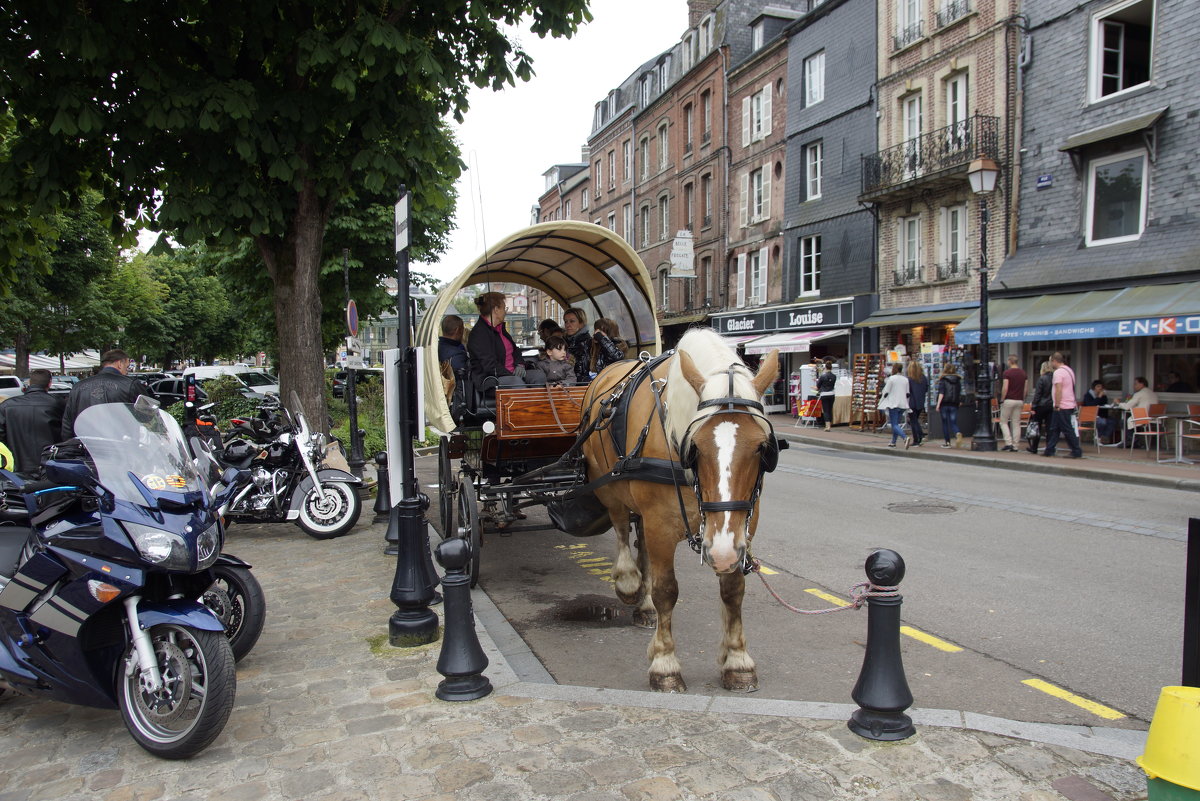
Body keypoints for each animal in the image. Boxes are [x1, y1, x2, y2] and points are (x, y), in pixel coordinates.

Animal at [578, 328, 782, 690]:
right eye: (696, 447)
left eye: (762, 447)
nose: (722, 553)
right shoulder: (660, 522)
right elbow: (666, 590)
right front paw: (665, 664)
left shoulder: (742, 525)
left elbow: (733, 589)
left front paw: (737, 661)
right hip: (611, 488)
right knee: (621, 531)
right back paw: (629, 584)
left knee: (641, 544)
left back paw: (643, 606)